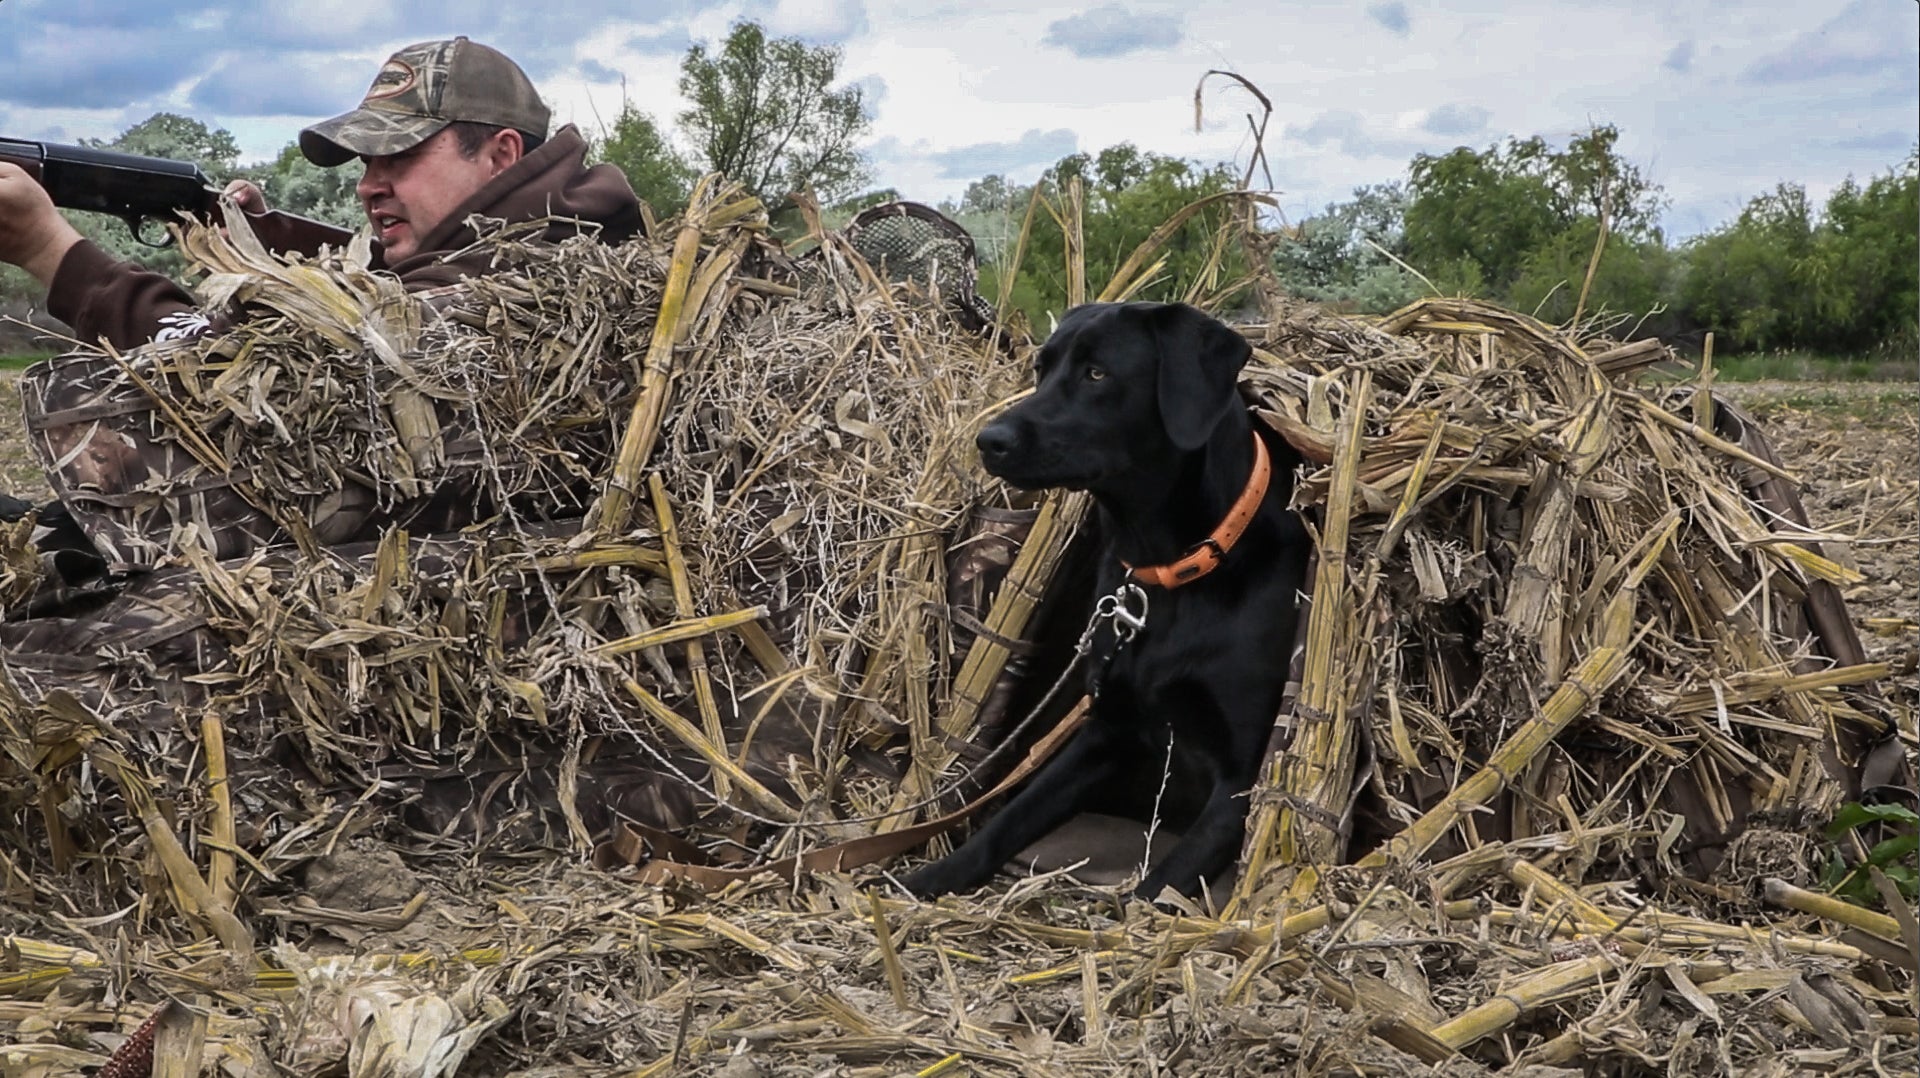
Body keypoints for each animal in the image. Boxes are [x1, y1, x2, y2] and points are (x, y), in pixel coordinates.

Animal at [906, 297, 1313, 895]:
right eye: (1042, 368)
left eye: (1097, 374)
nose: (989, 440)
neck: (1173, 571)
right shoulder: (1104, 734)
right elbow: (1004, 824)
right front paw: (922, 881)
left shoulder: (1241, 781)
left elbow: (1158, 889)